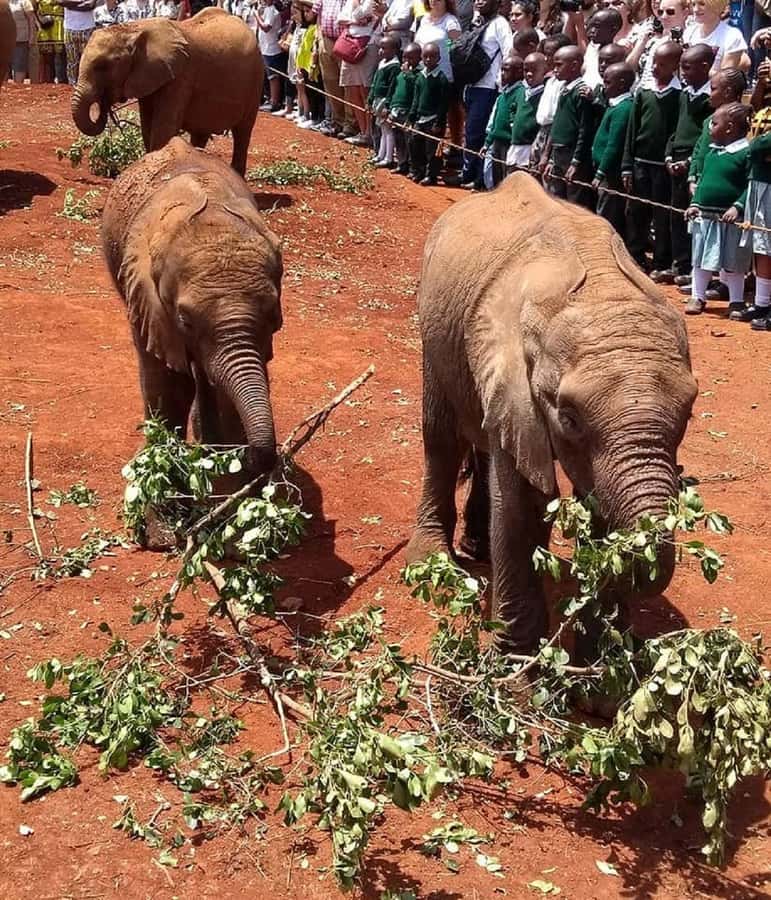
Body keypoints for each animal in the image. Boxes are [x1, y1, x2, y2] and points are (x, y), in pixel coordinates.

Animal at [72, 8, 263, 175]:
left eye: (103, 67)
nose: (104, 102)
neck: (135, 29)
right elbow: (147, 127)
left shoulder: (181, 76)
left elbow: (163, 128)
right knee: (201, 132)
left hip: (255, 81)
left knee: (242, 132)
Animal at [406, 174, 698, 660]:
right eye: (570, 417)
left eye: (688, 415)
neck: (600, 287)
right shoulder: (512, 373)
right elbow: (523, 504)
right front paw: (515, 668)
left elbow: (595, 505)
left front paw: (602, 671)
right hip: (434, 331)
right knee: (442, 440)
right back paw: (432, 562)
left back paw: (477, 547)